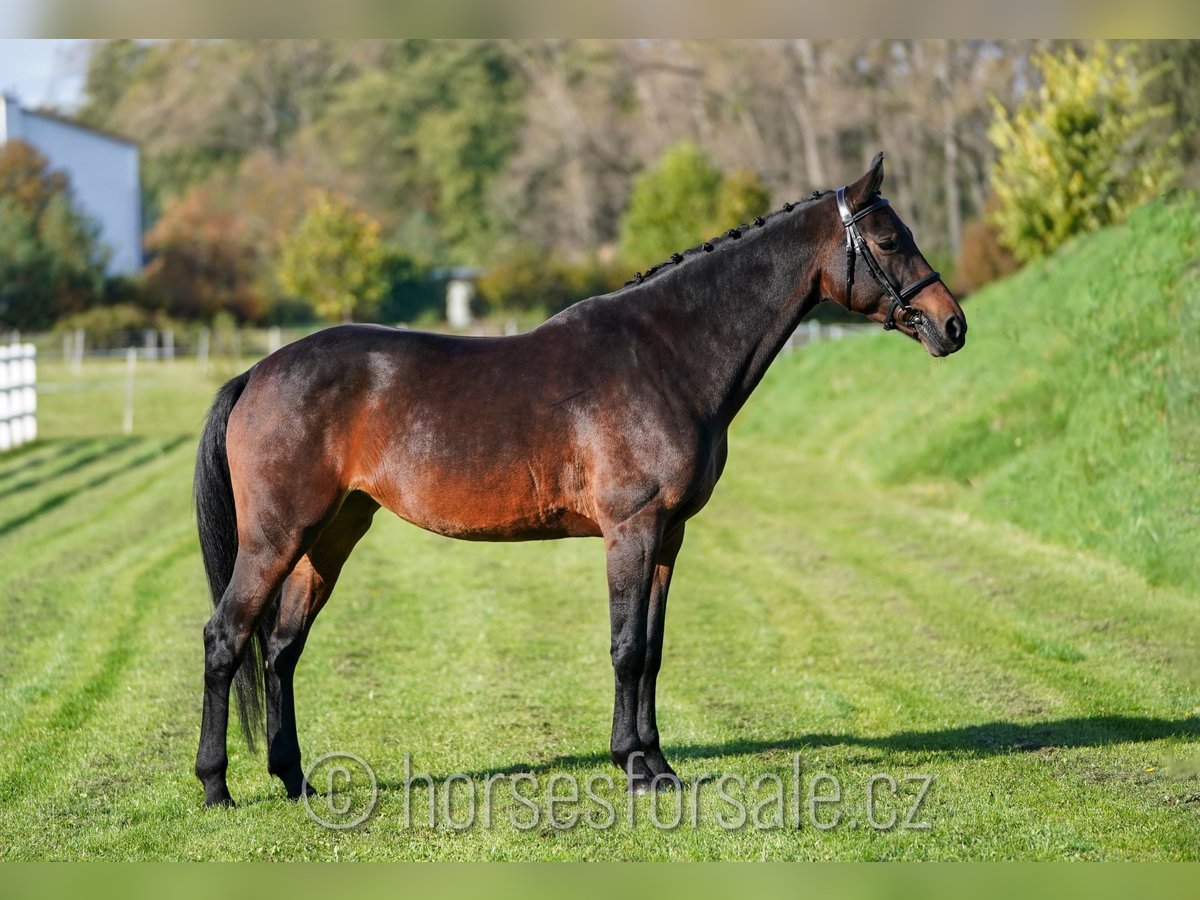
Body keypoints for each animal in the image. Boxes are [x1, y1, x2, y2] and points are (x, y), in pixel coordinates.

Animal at [194, 151, 964, 806]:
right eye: (888, 240)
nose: (952, 325)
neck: (667, 355)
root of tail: (257, 372)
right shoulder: (632, 529)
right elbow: (626, 648)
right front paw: (633, 768)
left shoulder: (668, 536)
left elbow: (652, 650)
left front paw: (656, 763)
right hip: (276, 538)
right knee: (226, 637)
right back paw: (216, 786)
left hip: (330, 536)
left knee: (282, 651)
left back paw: (295, 780)